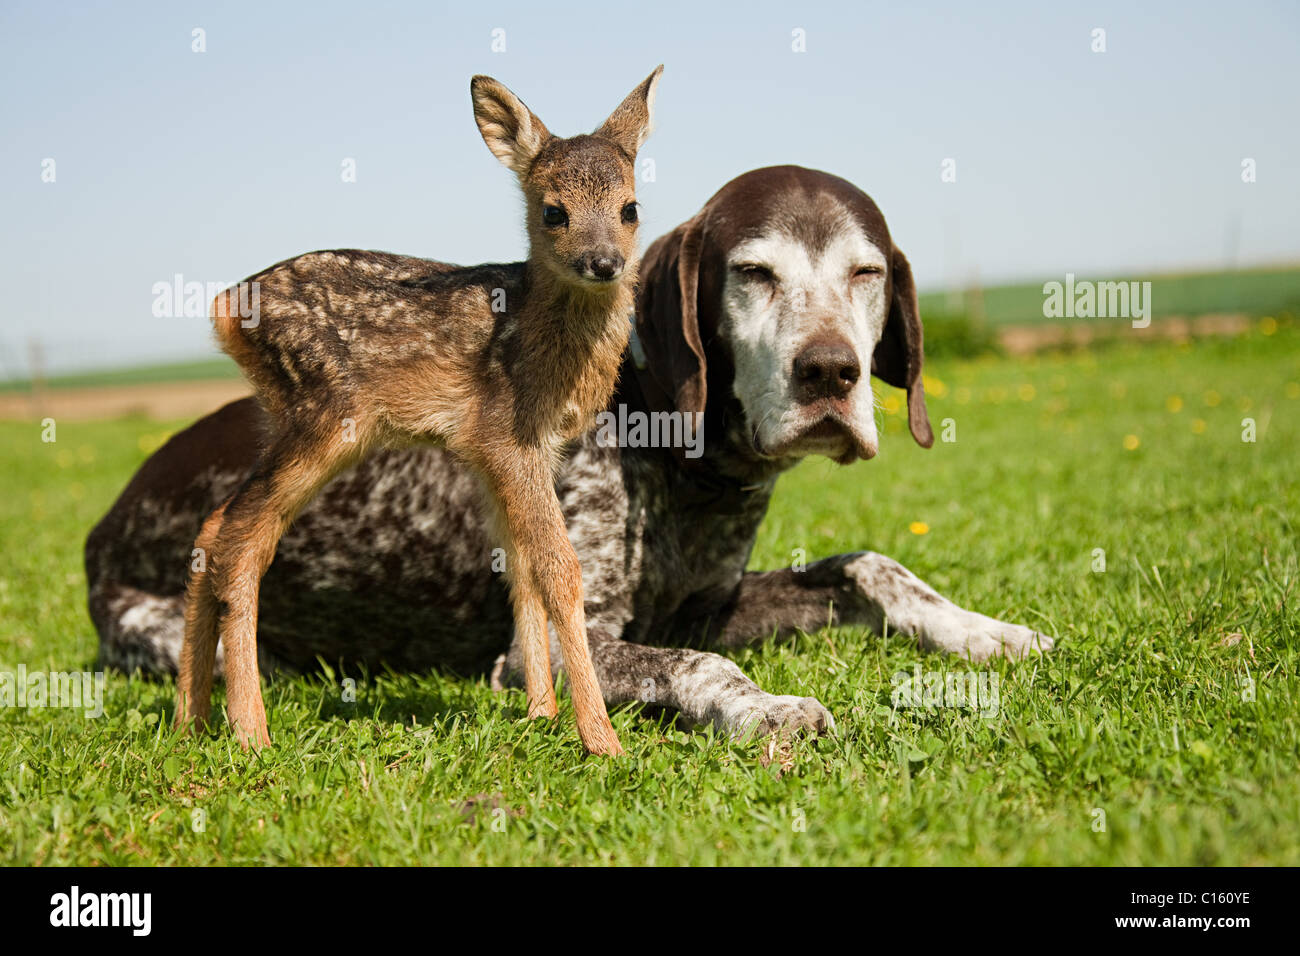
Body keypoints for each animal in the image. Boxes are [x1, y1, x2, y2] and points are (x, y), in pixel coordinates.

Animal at [86, 164, 1050, 738]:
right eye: (752, 273)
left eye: (867, 273)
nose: (829, 372)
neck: (683, 462)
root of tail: (105, 519)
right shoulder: (544, 648)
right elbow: (700, 665)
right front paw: (766, 708)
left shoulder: (705, 606)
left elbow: (871, 568)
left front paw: (987, 630)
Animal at [172, 65, 660, 754]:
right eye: (553, 211)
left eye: (630, 208)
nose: (604, 262)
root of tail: (223, 309)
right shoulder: (511, 436)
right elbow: (561, 570)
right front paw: (599, 738)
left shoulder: (495, 451)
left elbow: (519, 569)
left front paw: (540, 715)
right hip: (324, 412)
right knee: (241, 542)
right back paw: (251, 731)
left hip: (287, 418)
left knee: (215, 527)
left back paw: (191, 719)